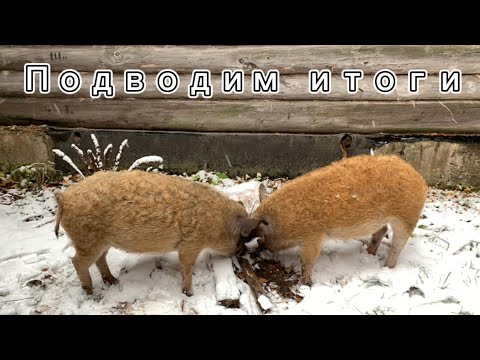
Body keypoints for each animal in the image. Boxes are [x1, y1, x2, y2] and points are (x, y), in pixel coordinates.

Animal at [55, 170, 262, 296]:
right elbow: (186, 266)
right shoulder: (190, 243)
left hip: (102, 242)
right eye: (242, 238)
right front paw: (189, 293)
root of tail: (63, 198)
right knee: (77, 261)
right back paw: (90, 292)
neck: (217, 222)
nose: (240, 253)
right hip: (87, 240)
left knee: (100, 260)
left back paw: (113, 281)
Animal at [248, 155, 428, 286]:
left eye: (262, 233)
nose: (260, 245)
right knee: (382, 231)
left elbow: (307, 261)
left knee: (398, 245)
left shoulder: (313, 237)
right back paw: (368, 253)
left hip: (407, 217)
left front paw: (305, 284)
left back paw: (386, 268)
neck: (286, 219)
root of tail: (418, 176)